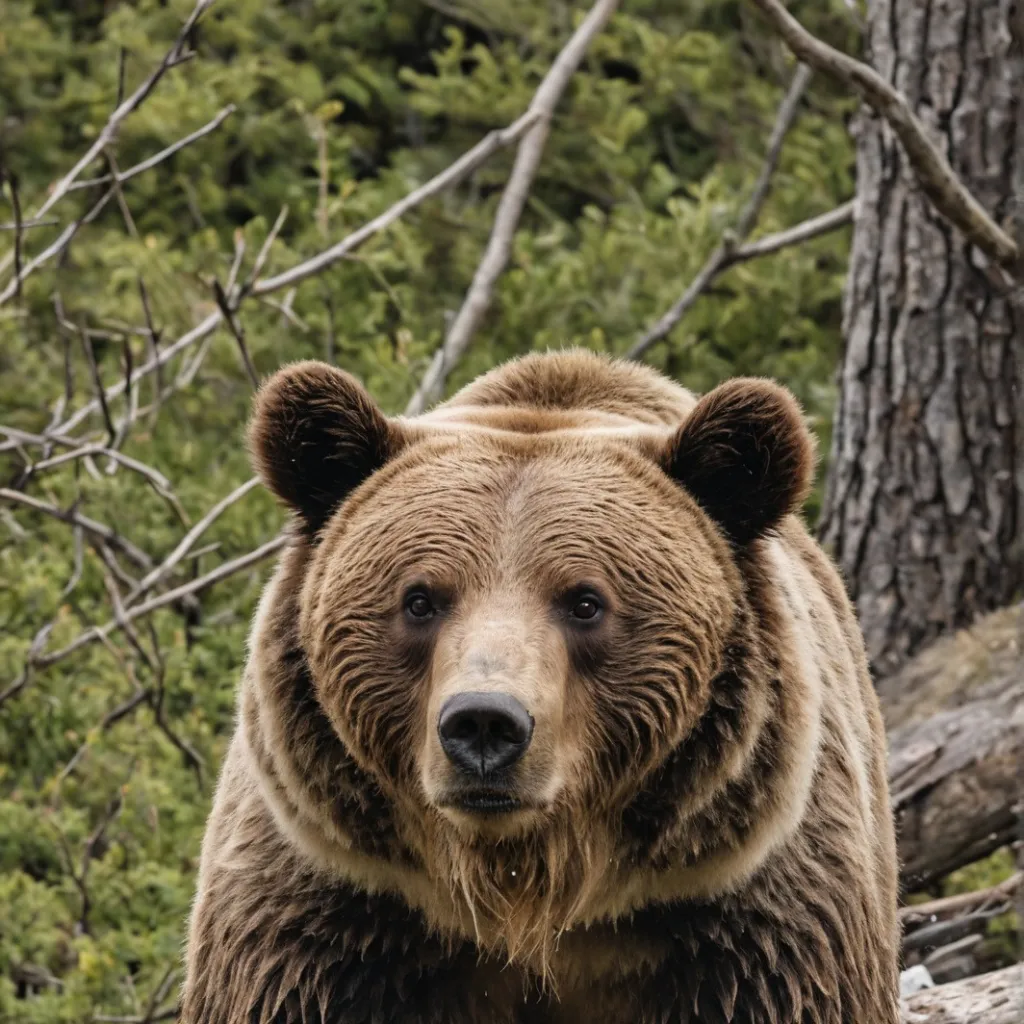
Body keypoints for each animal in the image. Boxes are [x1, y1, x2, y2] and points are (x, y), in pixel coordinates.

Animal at [182, 349, 900, 1024]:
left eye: (585, 601)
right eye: (420, 599)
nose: (484, 724)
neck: (526, 887)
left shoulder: (742, 919)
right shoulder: (335, 911)